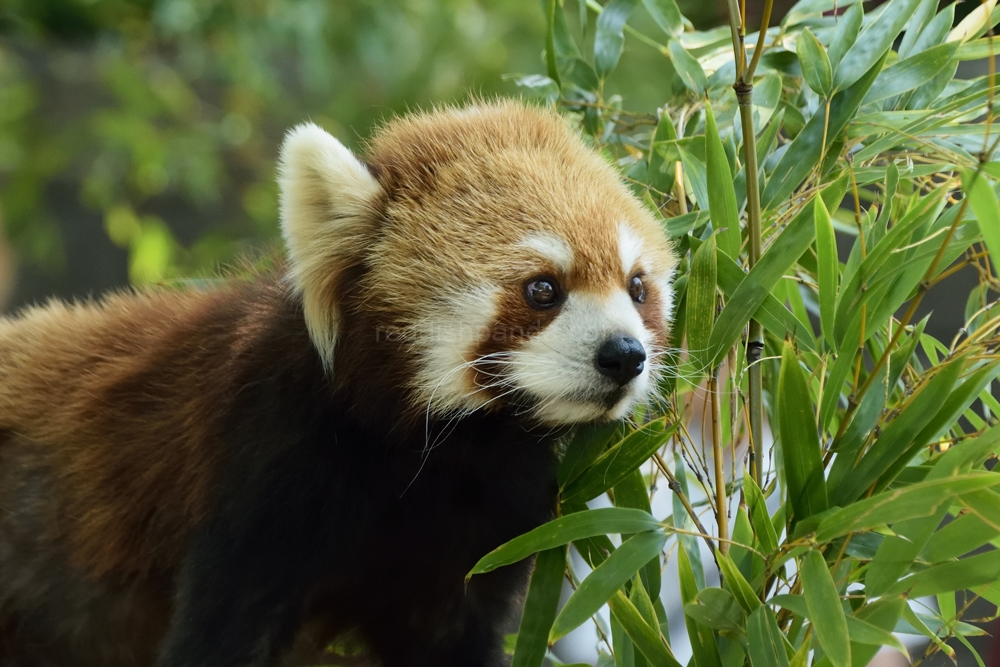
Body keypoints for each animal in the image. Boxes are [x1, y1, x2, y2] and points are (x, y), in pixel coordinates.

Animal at [0, 100, 680, 667]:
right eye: (543, 288)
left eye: (637, 286)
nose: (624, 355)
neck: (436, 453)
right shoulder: (264, 470)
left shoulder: (487, 524)